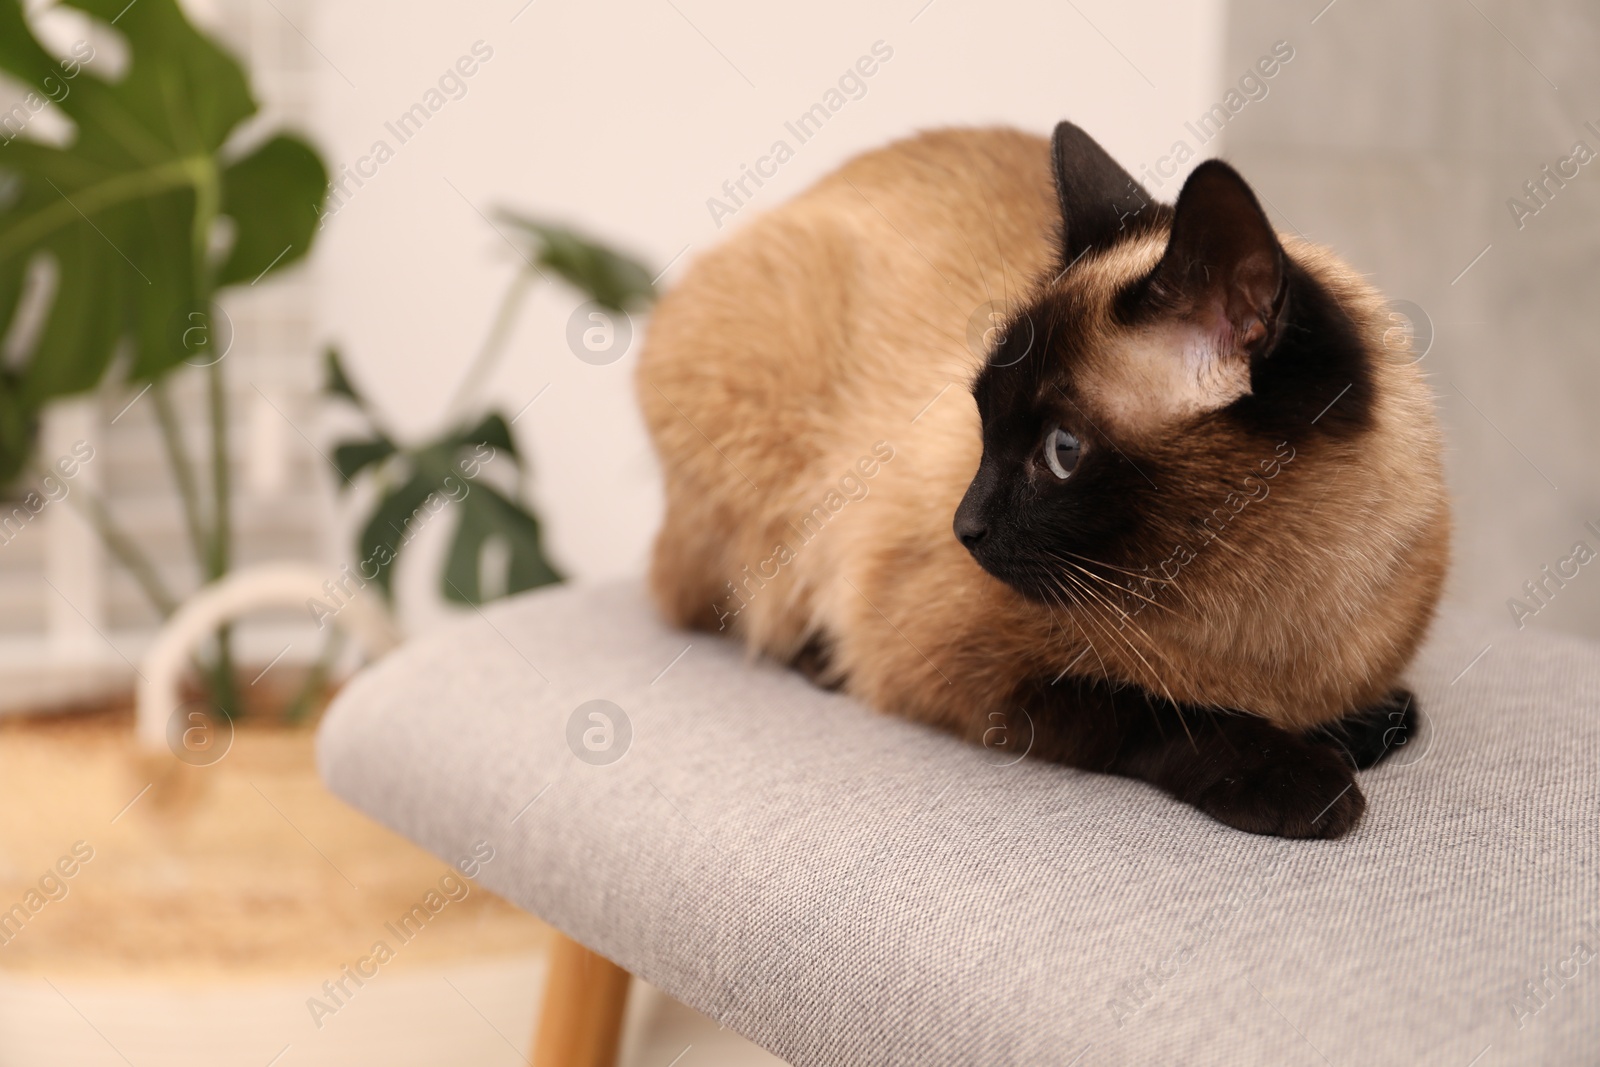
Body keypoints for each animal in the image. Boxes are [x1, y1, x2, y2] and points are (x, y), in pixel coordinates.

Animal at [636, 123, 1452, 844]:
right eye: (983, 424)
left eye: (1062, 451)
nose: (963, 527)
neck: (1264, 632)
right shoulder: (964, 670)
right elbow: (1152, 711)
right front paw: (1301, 781)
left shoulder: (1372, 684)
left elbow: (1391, 717)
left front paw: (1340, 736)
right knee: (737, 608)